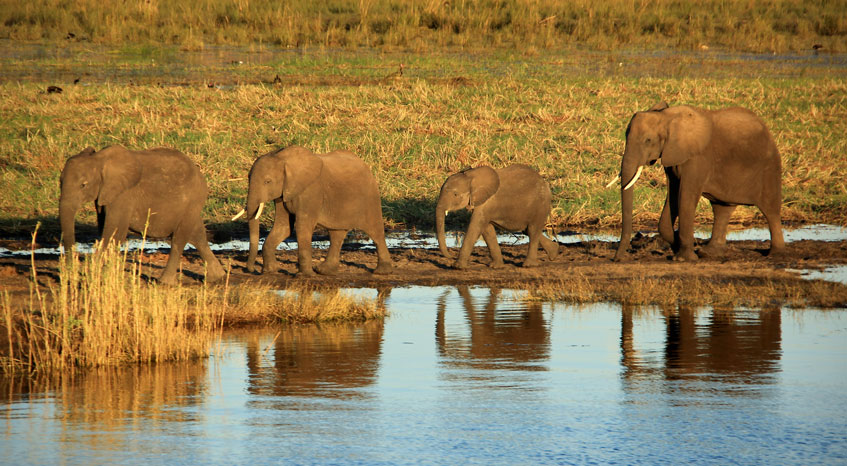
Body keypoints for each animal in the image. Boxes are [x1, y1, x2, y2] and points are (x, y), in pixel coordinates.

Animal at [59, 146, 225, 284]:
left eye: (83, 185)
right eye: (60, 183)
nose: (71, 274)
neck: (98, 159)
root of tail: (199, 172)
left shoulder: (124, 195)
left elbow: (114, 232)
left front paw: (95, 275)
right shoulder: (103, 196)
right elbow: (106, 229)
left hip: (193, 200)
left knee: (179, 239)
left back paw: (164, 283)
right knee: (198, 236)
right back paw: (217, 278)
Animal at [230, 146, 392, 276]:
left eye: (267, 181)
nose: (251, 270)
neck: (283, 158)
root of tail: (366, 165)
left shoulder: (311, 192)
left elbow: (303, 228)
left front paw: (305, 276)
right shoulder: (284, 193)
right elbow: (283, 227)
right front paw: (270, 271)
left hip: (370, 197)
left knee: (375, 231)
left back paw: (382, 271)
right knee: (336, 234)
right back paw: (324, 271)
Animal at [608, 102, 780, 262]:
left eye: (648, 140)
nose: (617, 259)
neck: (666, 117)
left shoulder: (697, 158)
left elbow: (686, 196)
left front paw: (684, 258)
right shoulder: (672, 156)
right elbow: (673, 193)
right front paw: (682, 246)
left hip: (769, 167)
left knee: (770, 210)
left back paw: (776, 253)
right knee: (722, 209)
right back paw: (709, 253)